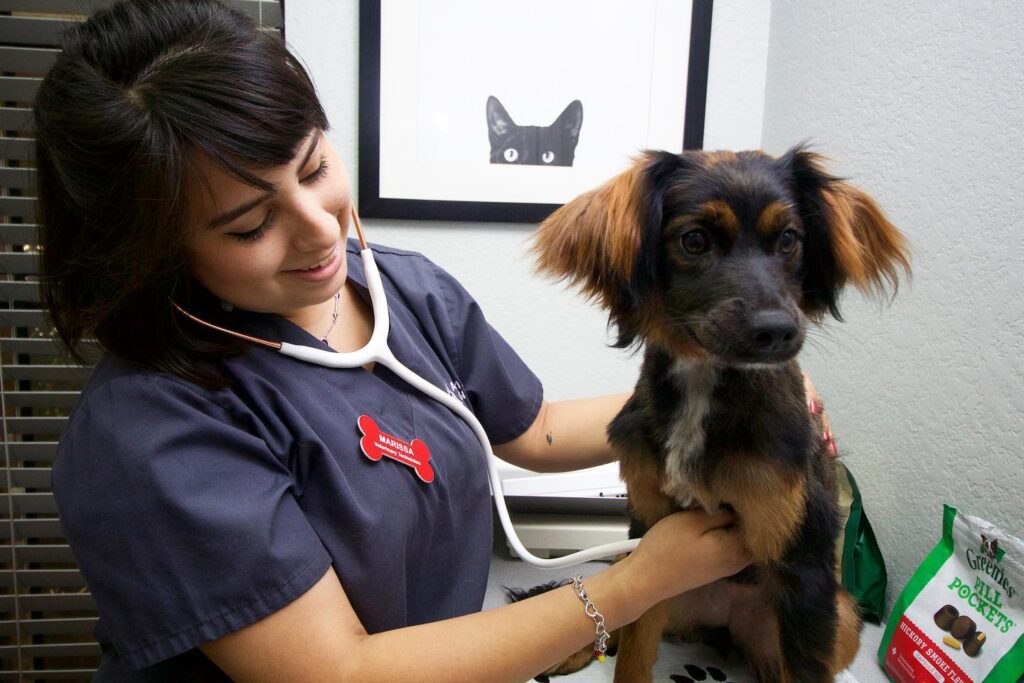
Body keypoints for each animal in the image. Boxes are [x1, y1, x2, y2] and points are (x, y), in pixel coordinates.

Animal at [524, 148, 909, 683]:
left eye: (789, 240)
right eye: (694, 240)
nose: (778, 330)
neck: (705, 385)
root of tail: (720, 626)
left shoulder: (804, 567)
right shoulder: (651, 540)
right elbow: (634, 647)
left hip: (839, 617)